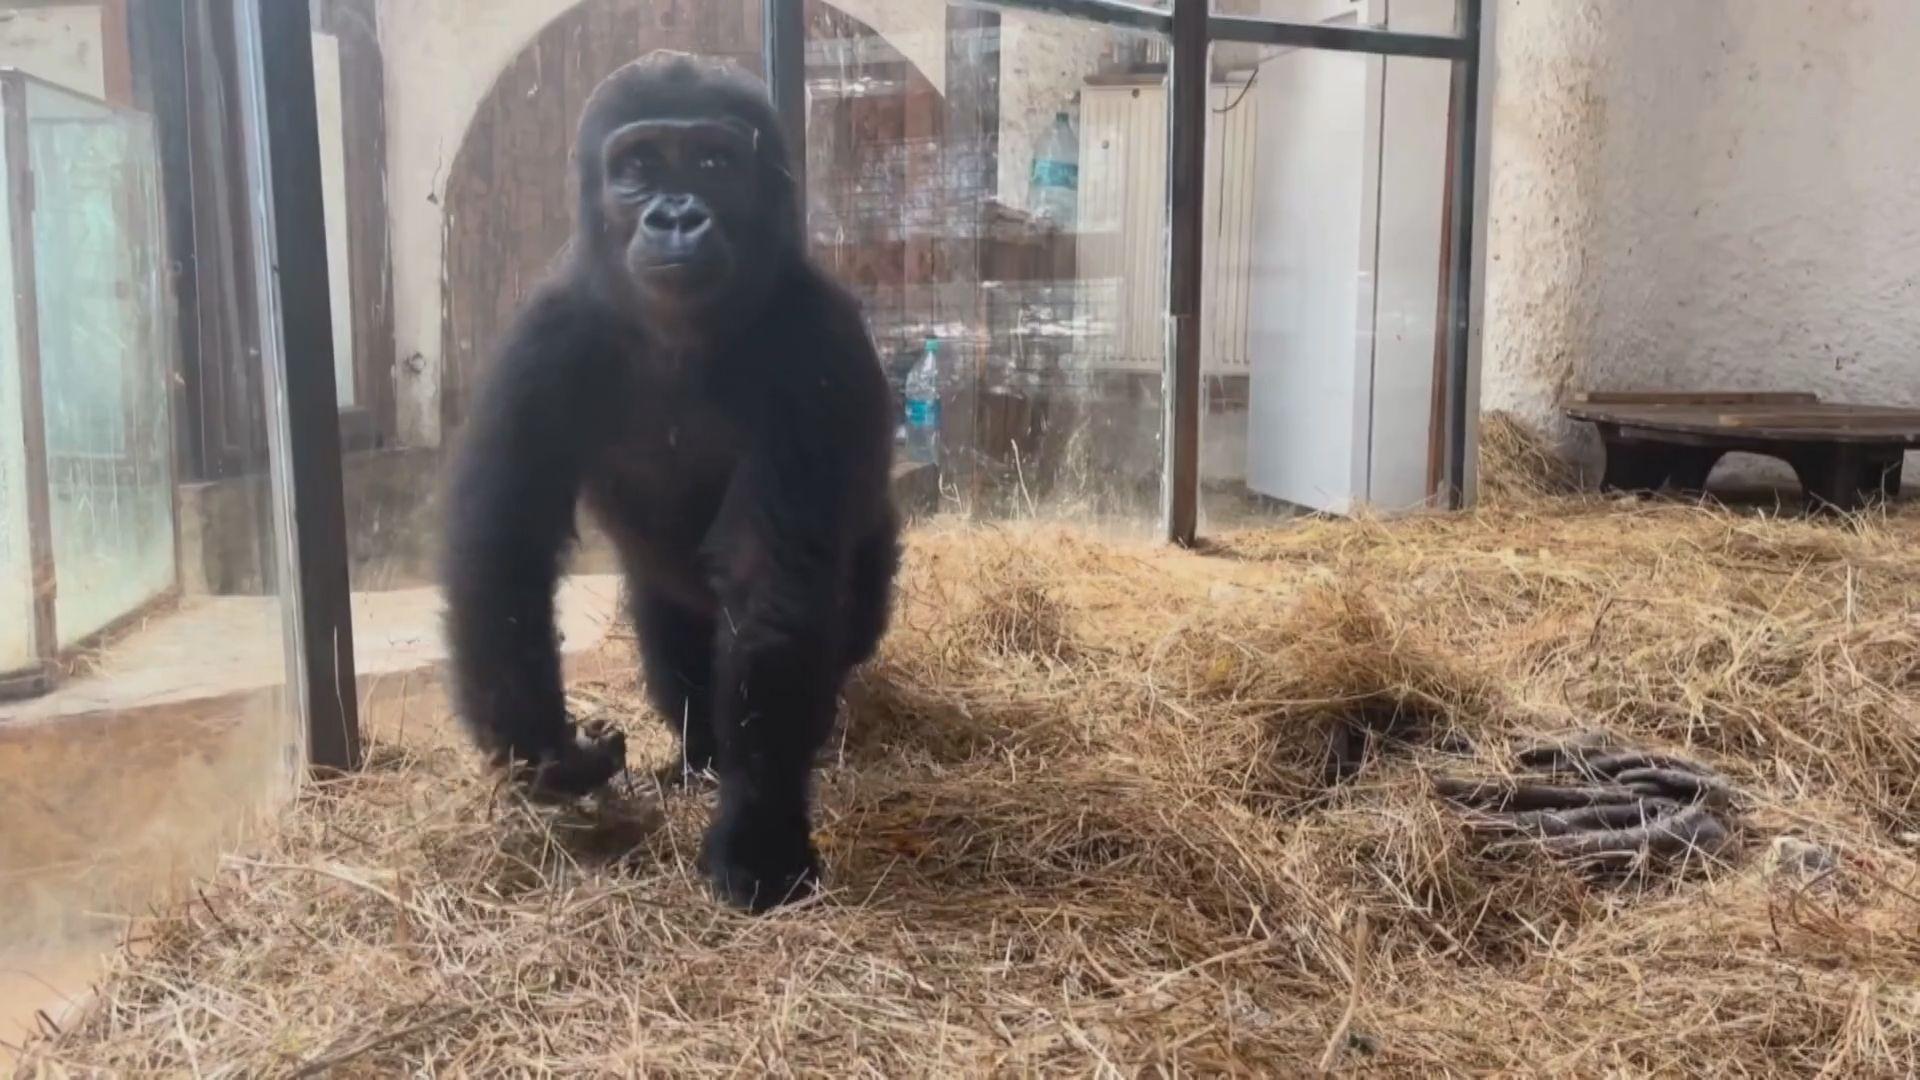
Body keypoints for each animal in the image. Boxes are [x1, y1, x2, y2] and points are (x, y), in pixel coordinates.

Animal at [441, 53, 900, 912]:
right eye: (639, 167)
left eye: (716, 164)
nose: (677, 217)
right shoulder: (544, 336)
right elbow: (506, 546)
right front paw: (550, 753)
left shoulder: (818, 347)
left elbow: (771, 591)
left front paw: (758, 838)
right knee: (671, 636)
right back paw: (698, 756)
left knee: (842, 626)